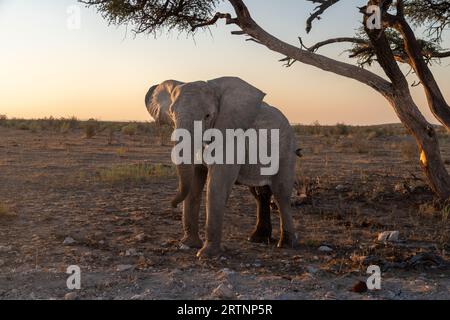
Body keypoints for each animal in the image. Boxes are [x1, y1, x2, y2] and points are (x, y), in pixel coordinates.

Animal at [145, 77, 298, 258]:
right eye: (171, 113)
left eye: (207, 116)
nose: (172, 205)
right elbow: (195, 182)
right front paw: (189, 244)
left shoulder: (232, 137)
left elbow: (217, 183)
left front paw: (206, 254)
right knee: (262, 193)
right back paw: (257, 239)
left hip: (287, 150)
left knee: (281, 194)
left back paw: (285, 244)